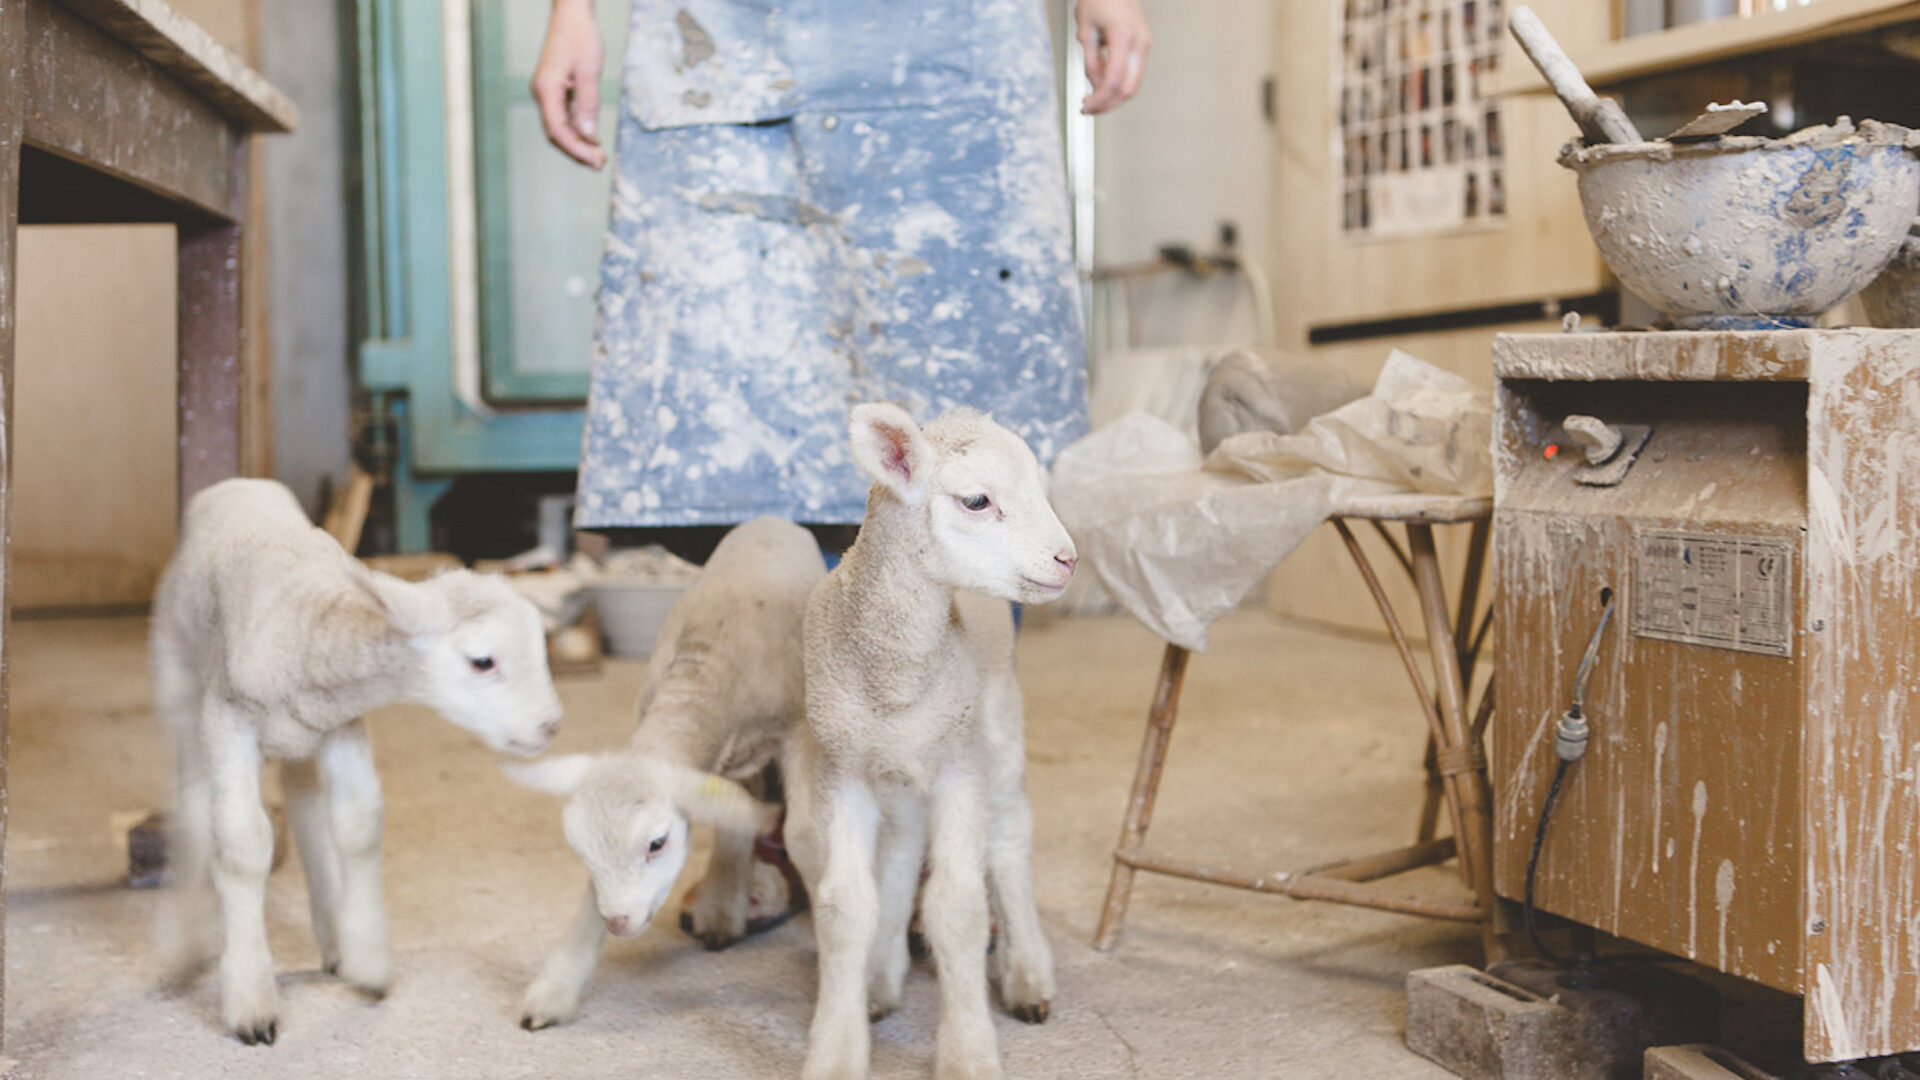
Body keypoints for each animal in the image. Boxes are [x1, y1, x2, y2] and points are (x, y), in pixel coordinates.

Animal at [148, 474, 560, 1037]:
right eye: (482, 662)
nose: (551, 726)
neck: (308, 624)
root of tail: (238, 482)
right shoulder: (228, 719)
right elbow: (242, 844)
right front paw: (251, 995)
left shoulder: (340, 725)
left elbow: (359, 826)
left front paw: (368, 962)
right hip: (180, 680)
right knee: (191, 803)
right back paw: (181, 946)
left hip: (297, 738)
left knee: (303, 804)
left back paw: (331, 934)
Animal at [503, 518, 825, 1030]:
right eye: (581, 851)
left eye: (657, 844)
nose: (618, 922)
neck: (702, 682)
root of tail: (771, 520)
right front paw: (555, 989)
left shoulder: (798, 733)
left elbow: (804, 836)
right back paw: (723, 908)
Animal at [783, 401, 1082, 1076]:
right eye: (976, 500)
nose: (1067, 559)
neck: (896, 674)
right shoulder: (843, 768)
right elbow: (844, 909)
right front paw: (837, 1046)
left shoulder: (959, 767)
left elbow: (960, 909)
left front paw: (969, 1050)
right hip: (899, 769)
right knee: (900, 848)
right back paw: (880, 977)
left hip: (997, 726)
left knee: (1010, 838)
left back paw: (1027, 975)